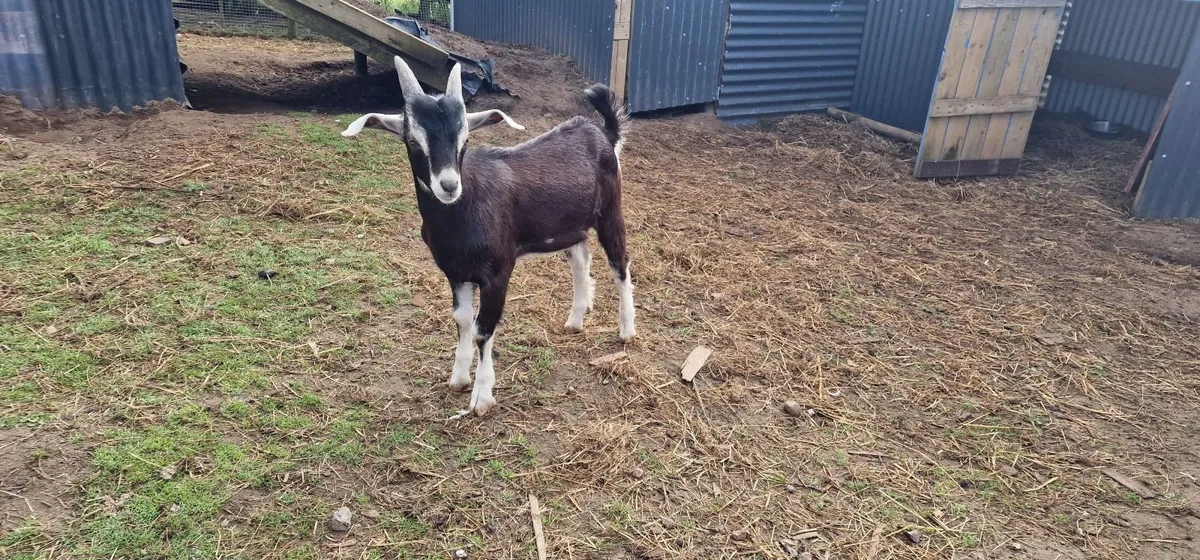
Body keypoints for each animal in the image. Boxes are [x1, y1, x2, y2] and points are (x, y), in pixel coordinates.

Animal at [342, 56, 636, 418]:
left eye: (465, 139)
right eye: (412, 140)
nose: (448, 185)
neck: (463, 211)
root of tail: (601, 132)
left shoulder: (498, 272)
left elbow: (483, 328)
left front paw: (481, 397)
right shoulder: (455, 272)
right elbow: (462, 320)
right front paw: (458, 377)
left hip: (610, 211)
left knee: (619, 263)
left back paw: (626, 330)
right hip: (569, 225)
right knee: (581, 259)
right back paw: (575, 319)